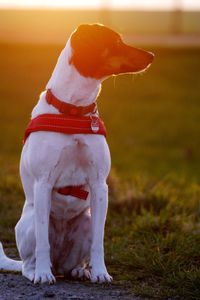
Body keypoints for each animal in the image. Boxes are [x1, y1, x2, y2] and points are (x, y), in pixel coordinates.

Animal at [0, 23, 153, 284]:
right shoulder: (43, 184)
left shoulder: (100, 184)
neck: (74, 109)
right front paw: (42, 275)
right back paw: (38, 271)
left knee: (74, 262)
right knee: (31, 259)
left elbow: (99, 243)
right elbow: (43, 243)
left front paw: (100, 272)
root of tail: (60, 265)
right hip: (30, 222)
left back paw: (81, 271)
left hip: (86, 220)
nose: (152, 56)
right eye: (116, 42)